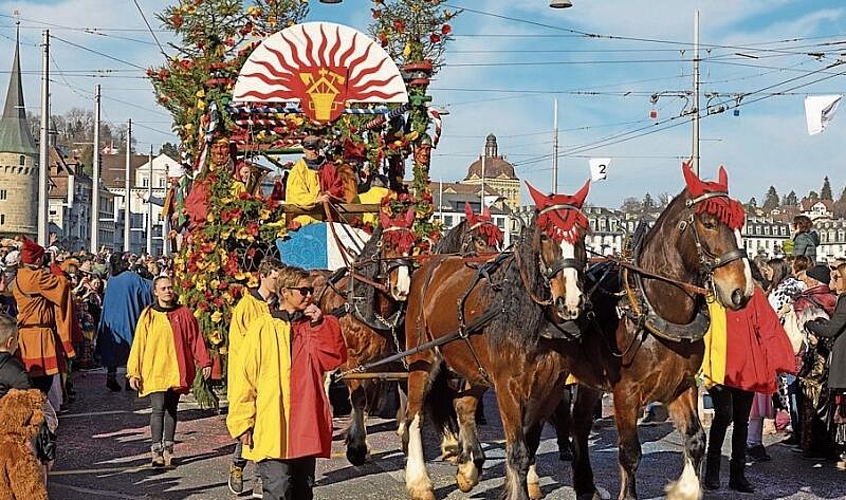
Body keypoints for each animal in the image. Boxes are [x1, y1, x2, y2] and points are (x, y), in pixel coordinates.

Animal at [402, 182, 588, 500]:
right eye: (546, 235)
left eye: (584, 233)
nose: (571, 300)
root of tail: (431, 267)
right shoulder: (508, 387)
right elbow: (519, 453)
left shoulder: (549, 389)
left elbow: (529, 445)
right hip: (422, 358)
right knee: (415, 415)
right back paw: (420, 482)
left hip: (473, 365)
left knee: (463, 406)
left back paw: (468, 469)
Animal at [556, 162, 756, 498]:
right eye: (709, 222)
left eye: (742, 224)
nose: (742, 291)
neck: (654, 308)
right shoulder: (626, 393)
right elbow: (630, 453)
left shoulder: (682, 386)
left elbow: (695, 439)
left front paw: (685, 488)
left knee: (579, 422)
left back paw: (585, 485)